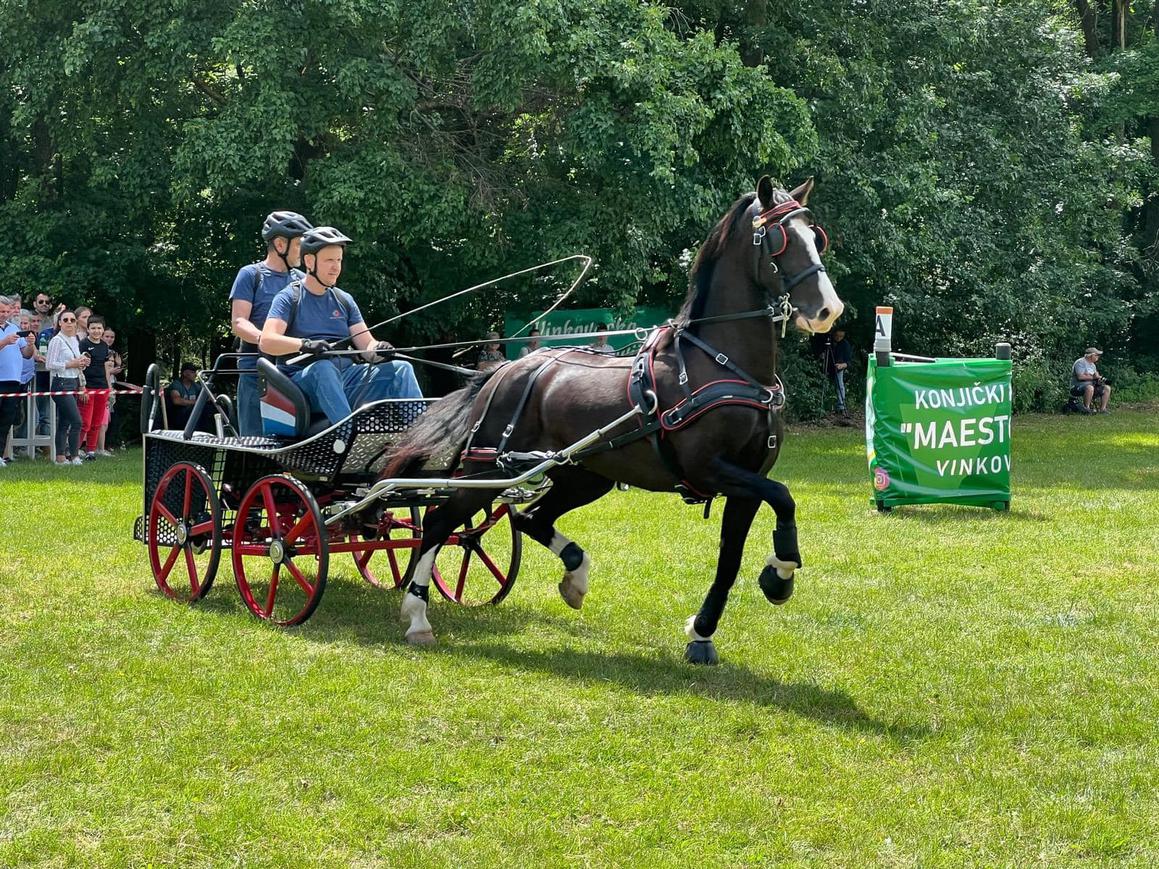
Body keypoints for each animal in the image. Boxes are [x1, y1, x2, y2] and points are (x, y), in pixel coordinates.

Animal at [384, 178, 848, 667]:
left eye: (816, 236)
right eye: (780, 239)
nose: (829, 310)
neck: (725, 364)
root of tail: (504, 370)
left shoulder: (746, 481)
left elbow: (732, 557)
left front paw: (703, 631)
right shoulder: (710, 469)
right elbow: (784, 498)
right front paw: (779, 575)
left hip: (585, 475)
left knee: (529, 518)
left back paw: (576, 576)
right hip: (489, 469)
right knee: (441, 522)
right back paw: (417, 616)